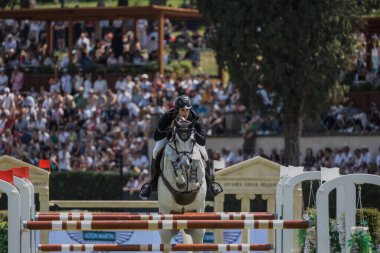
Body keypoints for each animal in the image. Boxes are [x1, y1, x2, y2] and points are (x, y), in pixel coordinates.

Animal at [157, 117, 206, 252]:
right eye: (176, 140)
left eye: (193, 140)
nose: (185, 164)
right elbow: (172, 157)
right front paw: (181, 181)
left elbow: (195, 157)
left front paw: (193, 181)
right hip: (166, 215)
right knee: (166, 240)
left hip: (197, 217)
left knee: (197, 240)